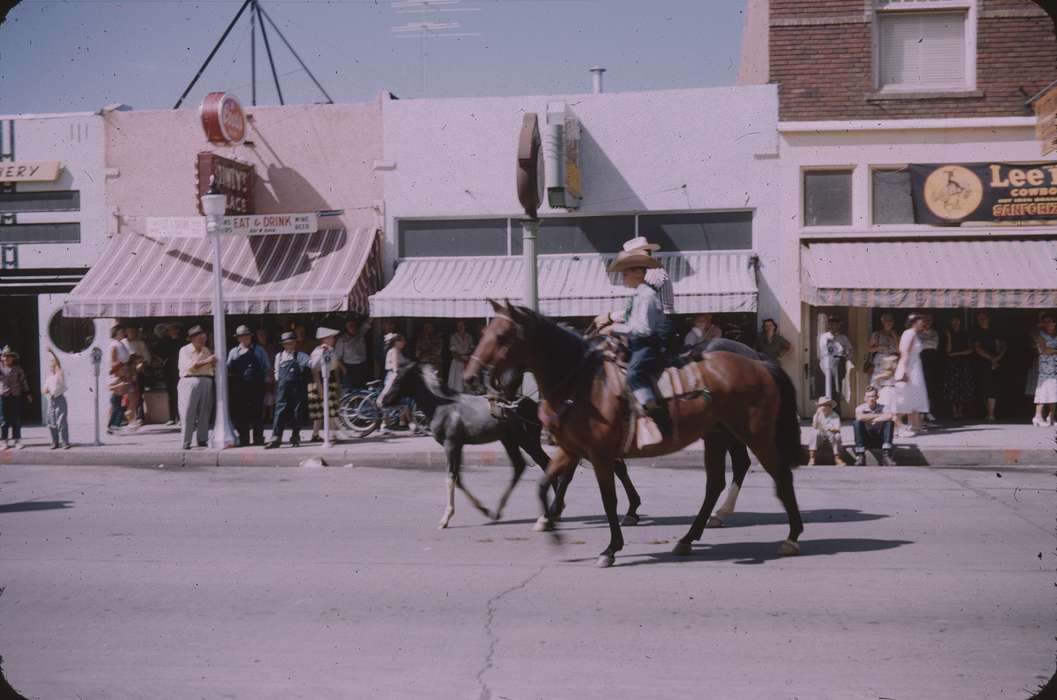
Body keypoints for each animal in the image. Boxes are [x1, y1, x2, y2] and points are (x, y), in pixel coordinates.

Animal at [380, 363, 642, 528]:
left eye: (399, 379)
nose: (381, 400)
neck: (442, 405)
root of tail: (532, 406)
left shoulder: (451, 444)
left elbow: (451, 478)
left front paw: (445, 519)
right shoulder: (459, 445)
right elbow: (459, 479)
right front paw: (483, 511)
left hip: (525, 440)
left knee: (544, 464)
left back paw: (552, 512)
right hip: (511, 441)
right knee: (523, 466)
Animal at [462, 302, 799, 570]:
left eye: (502, 336)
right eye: (485, 332)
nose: (471, 378)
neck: (584, 380)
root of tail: (759, 362)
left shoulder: (598, 452)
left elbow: (607, 496)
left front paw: (611, 545)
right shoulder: (572, 448)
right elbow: (547, 482)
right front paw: (552, 520)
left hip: (754, 434)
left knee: (779, 474)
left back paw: (791, 537)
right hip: (718, 435)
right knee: (717, 482)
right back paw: (691, 536)